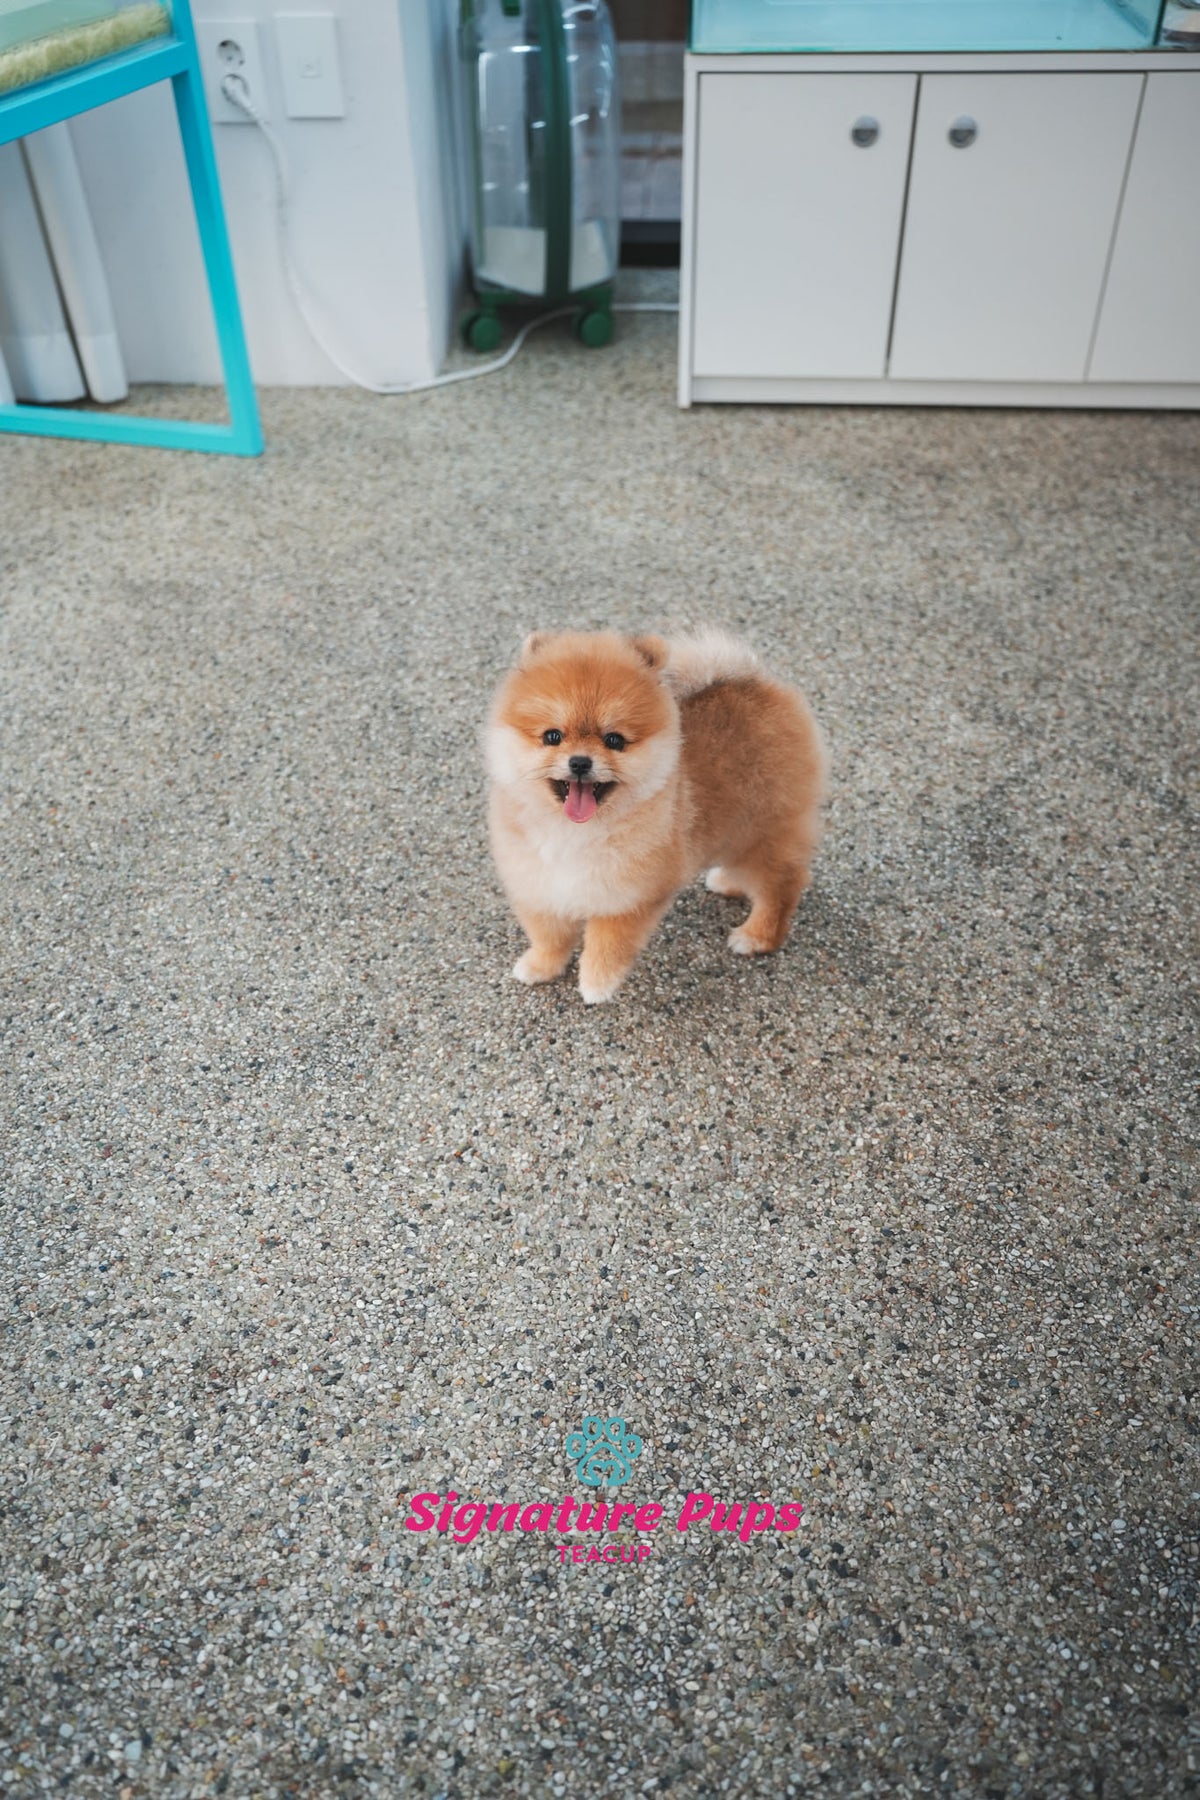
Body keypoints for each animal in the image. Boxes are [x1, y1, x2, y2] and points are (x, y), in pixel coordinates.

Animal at [485, 629, 826, 1004]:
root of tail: (752, 678)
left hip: (762, 829)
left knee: (781, 885)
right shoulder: (541, 884)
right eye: (553, 736)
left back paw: (757, 936)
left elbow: (608, 943)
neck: (574, 832)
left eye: (614, 740)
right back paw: (726, 881)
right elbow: (550, 936)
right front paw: (540, 967)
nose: (579, 762)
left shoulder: (627, 897)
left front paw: (597, 983)